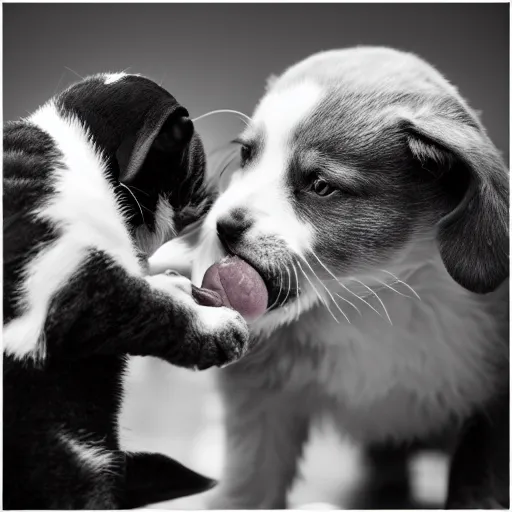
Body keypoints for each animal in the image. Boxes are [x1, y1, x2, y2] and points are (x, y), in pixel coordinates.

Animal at [190, 47, 510, 508]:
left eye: (321, 185)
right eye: (248, 156)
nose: (224, 227)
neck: (378, 298)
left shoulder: (492, 421)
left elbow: (479, 488)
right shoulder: (259, 406)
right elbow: (248, 485)